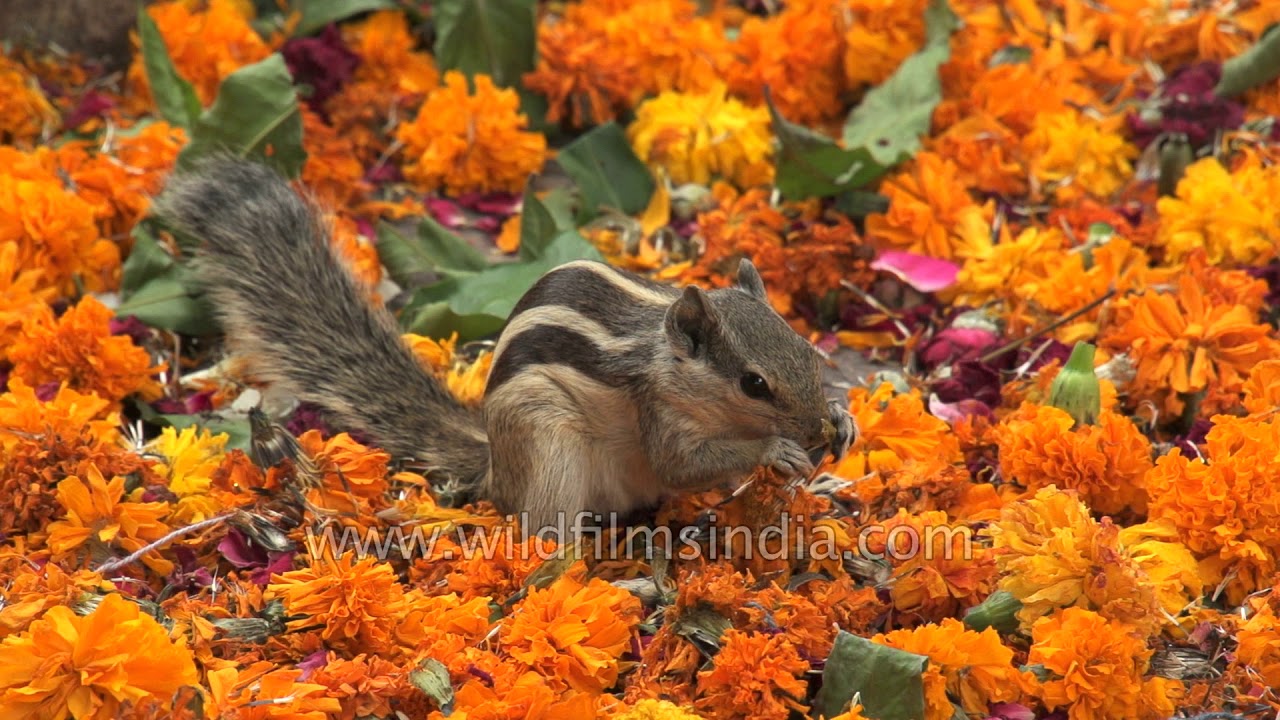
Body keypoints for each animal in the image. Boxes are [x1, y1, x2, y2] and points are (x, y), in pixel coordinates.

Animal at [151, 156, 857, 537]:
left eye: (808, 351)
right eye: (754, 384)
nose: (816, 432)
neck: (668, 362)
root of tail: (494, 463)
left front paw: (843, 421)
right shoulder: (658, 410)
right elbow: (682, 463)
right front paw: (774, 450)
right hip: (548, 446)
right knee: (545, 532)